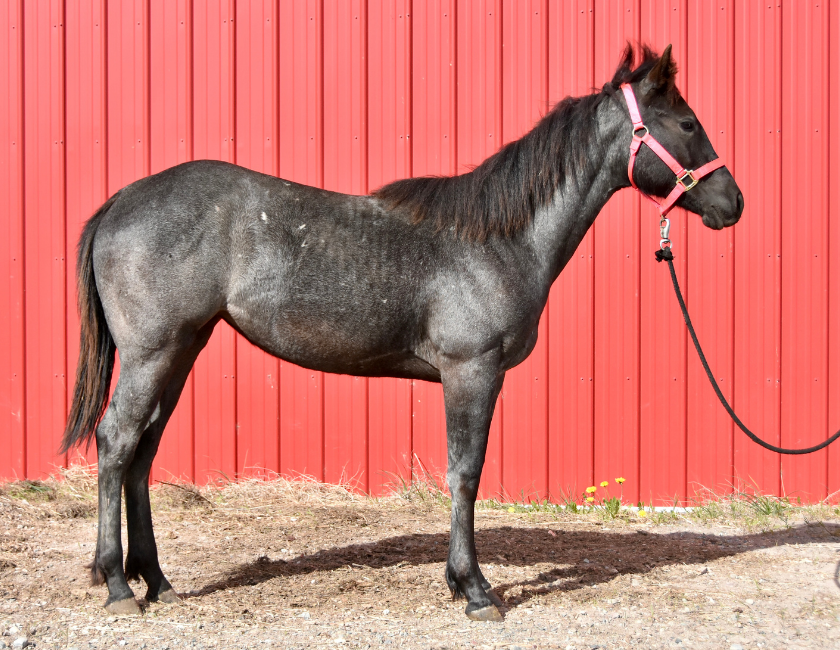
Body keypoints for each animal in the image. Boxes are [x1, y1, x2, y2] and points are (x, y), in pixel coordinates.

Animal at [61, 44, 743, 621]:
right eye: (687, 124)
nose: (732, 203)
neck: (498, 240)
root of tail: (122, 200)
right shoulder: (472, 370)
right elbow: (465, 472)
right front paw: (474, 590)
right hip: (153, 353)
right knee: (116, 441)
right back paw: (118, 584)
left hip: (181, 351)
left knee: (143, 451)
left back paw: (156, 580)